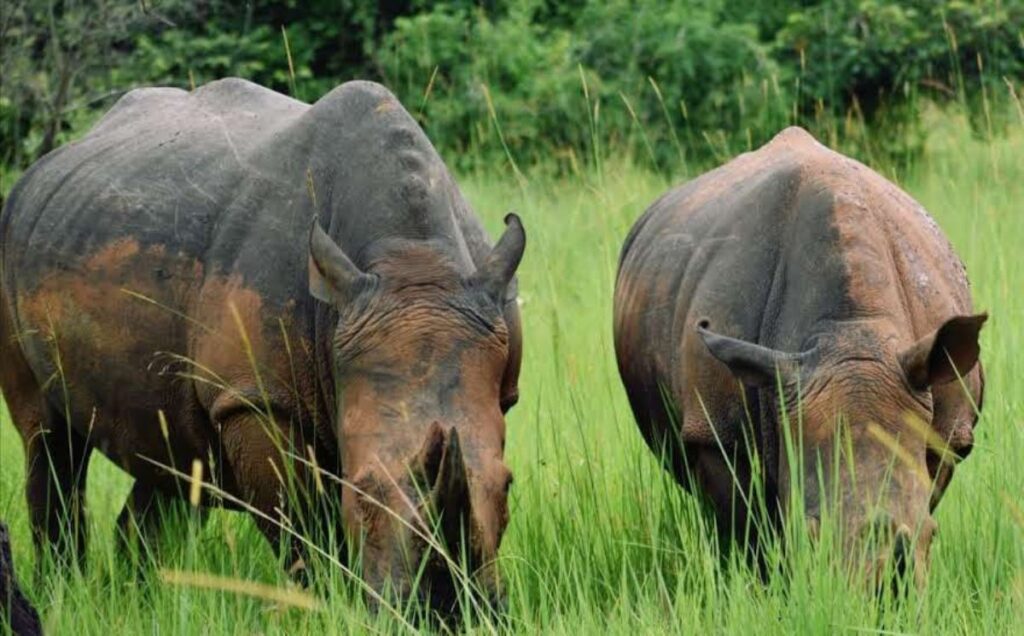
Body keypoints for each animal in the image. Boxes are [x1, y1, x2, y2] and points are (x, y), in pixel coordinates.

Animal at [0, 78, 524, 613]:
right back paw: (61, 592)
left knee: (173, 452)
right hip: (13, 238)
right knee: (47, 438)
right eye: (359, 492)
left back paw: (143, 598)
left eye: (508, 485)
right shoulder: (255, 399)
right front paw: (331, 604)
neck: (413, 263)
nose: (445, 610)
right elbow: (304, 526)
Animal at [614, 127, 985, 587]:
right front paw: (762, 588)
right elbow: (750, 534)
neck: (850, 333)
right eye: (810, 533)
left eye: (931, 535)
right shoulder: (717, 431)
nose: (882, 598)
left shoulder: (948, 428)